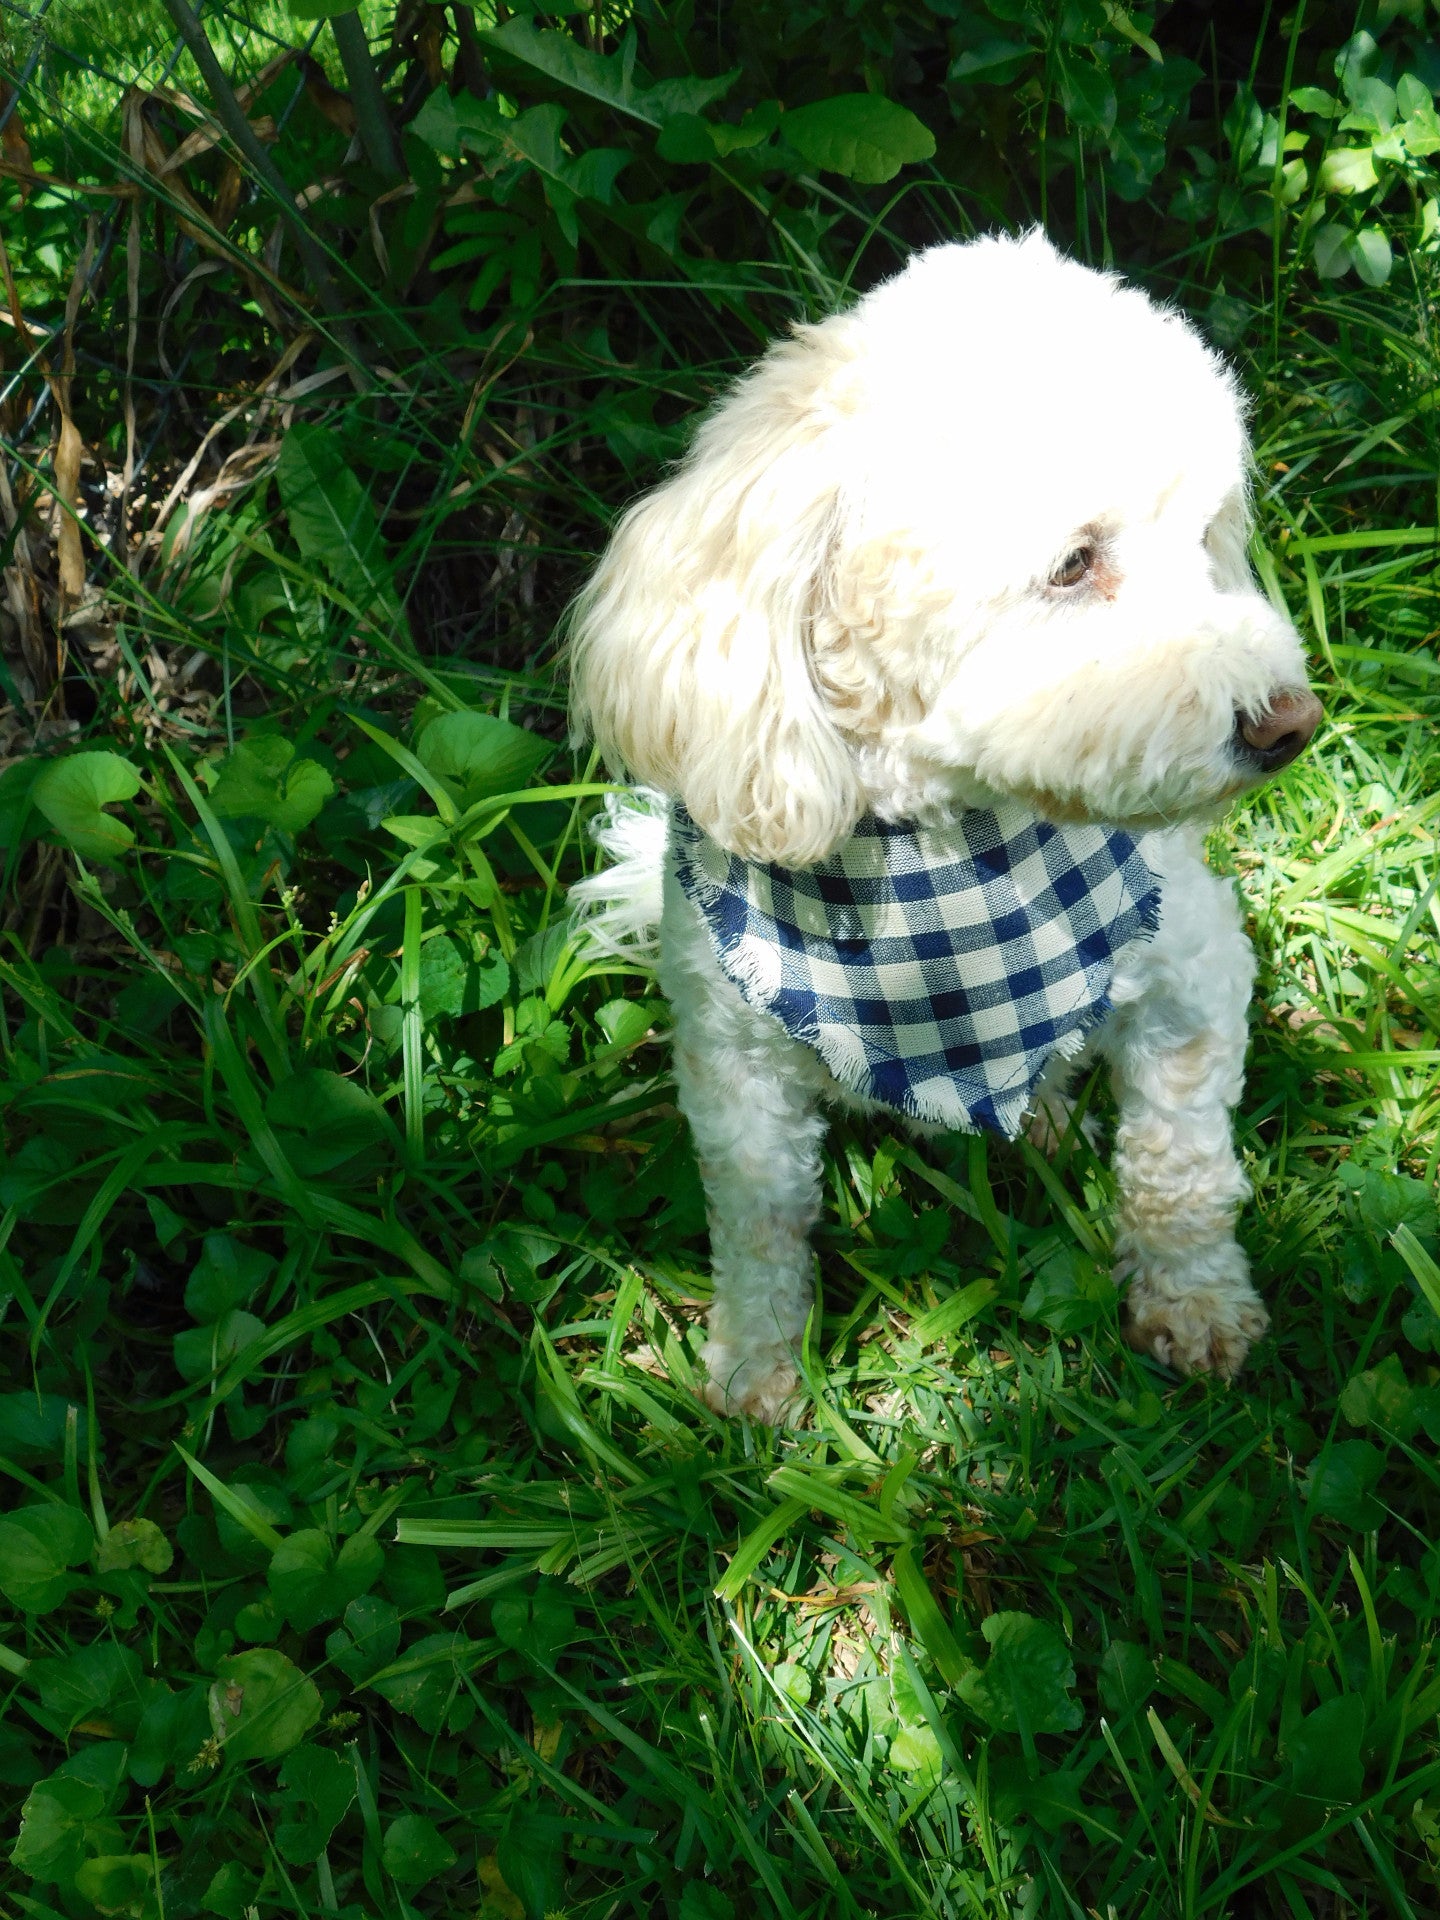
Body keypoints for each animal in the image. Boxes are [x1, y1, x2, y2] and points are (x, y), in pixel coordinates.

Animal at [568, 232, 1328, 1420]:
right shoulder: (736, 1069)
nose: (1289, 723)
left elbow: (1180, 1169)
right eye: (1074, 562)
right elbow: (759, 1222)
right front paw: (754, 1368)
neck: (946, 850)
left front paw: (1196, 1302)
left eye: (1207, 534)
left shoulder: (1194, 976)